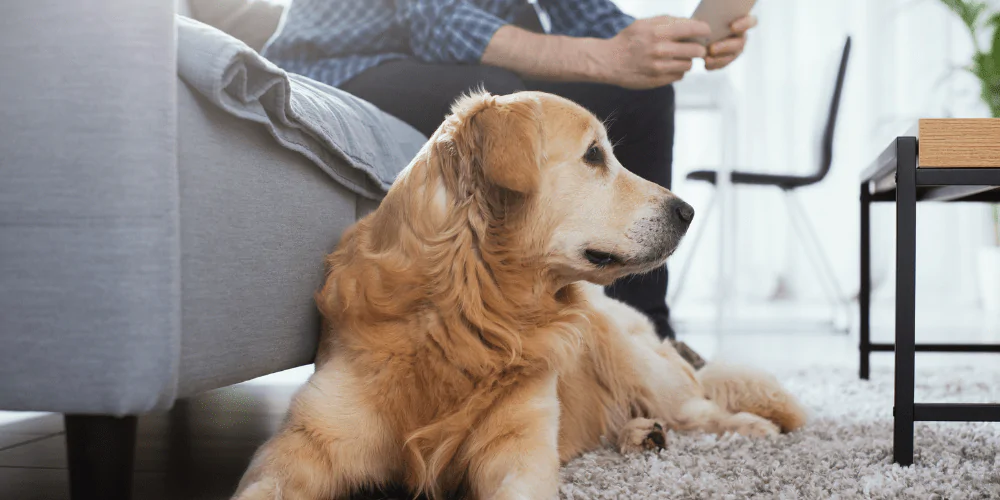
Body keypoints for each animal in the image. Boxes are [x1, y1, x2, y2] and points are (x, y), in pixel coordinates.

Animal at [232, 91, 804, 500]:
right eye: (594, 155)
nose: (687, 211)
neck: (472, 308)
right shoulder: (307, 441)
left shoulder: (518, 447)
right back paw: (643, 435)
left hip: (637, 363)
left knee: (700, 404)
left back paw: (748, 426)